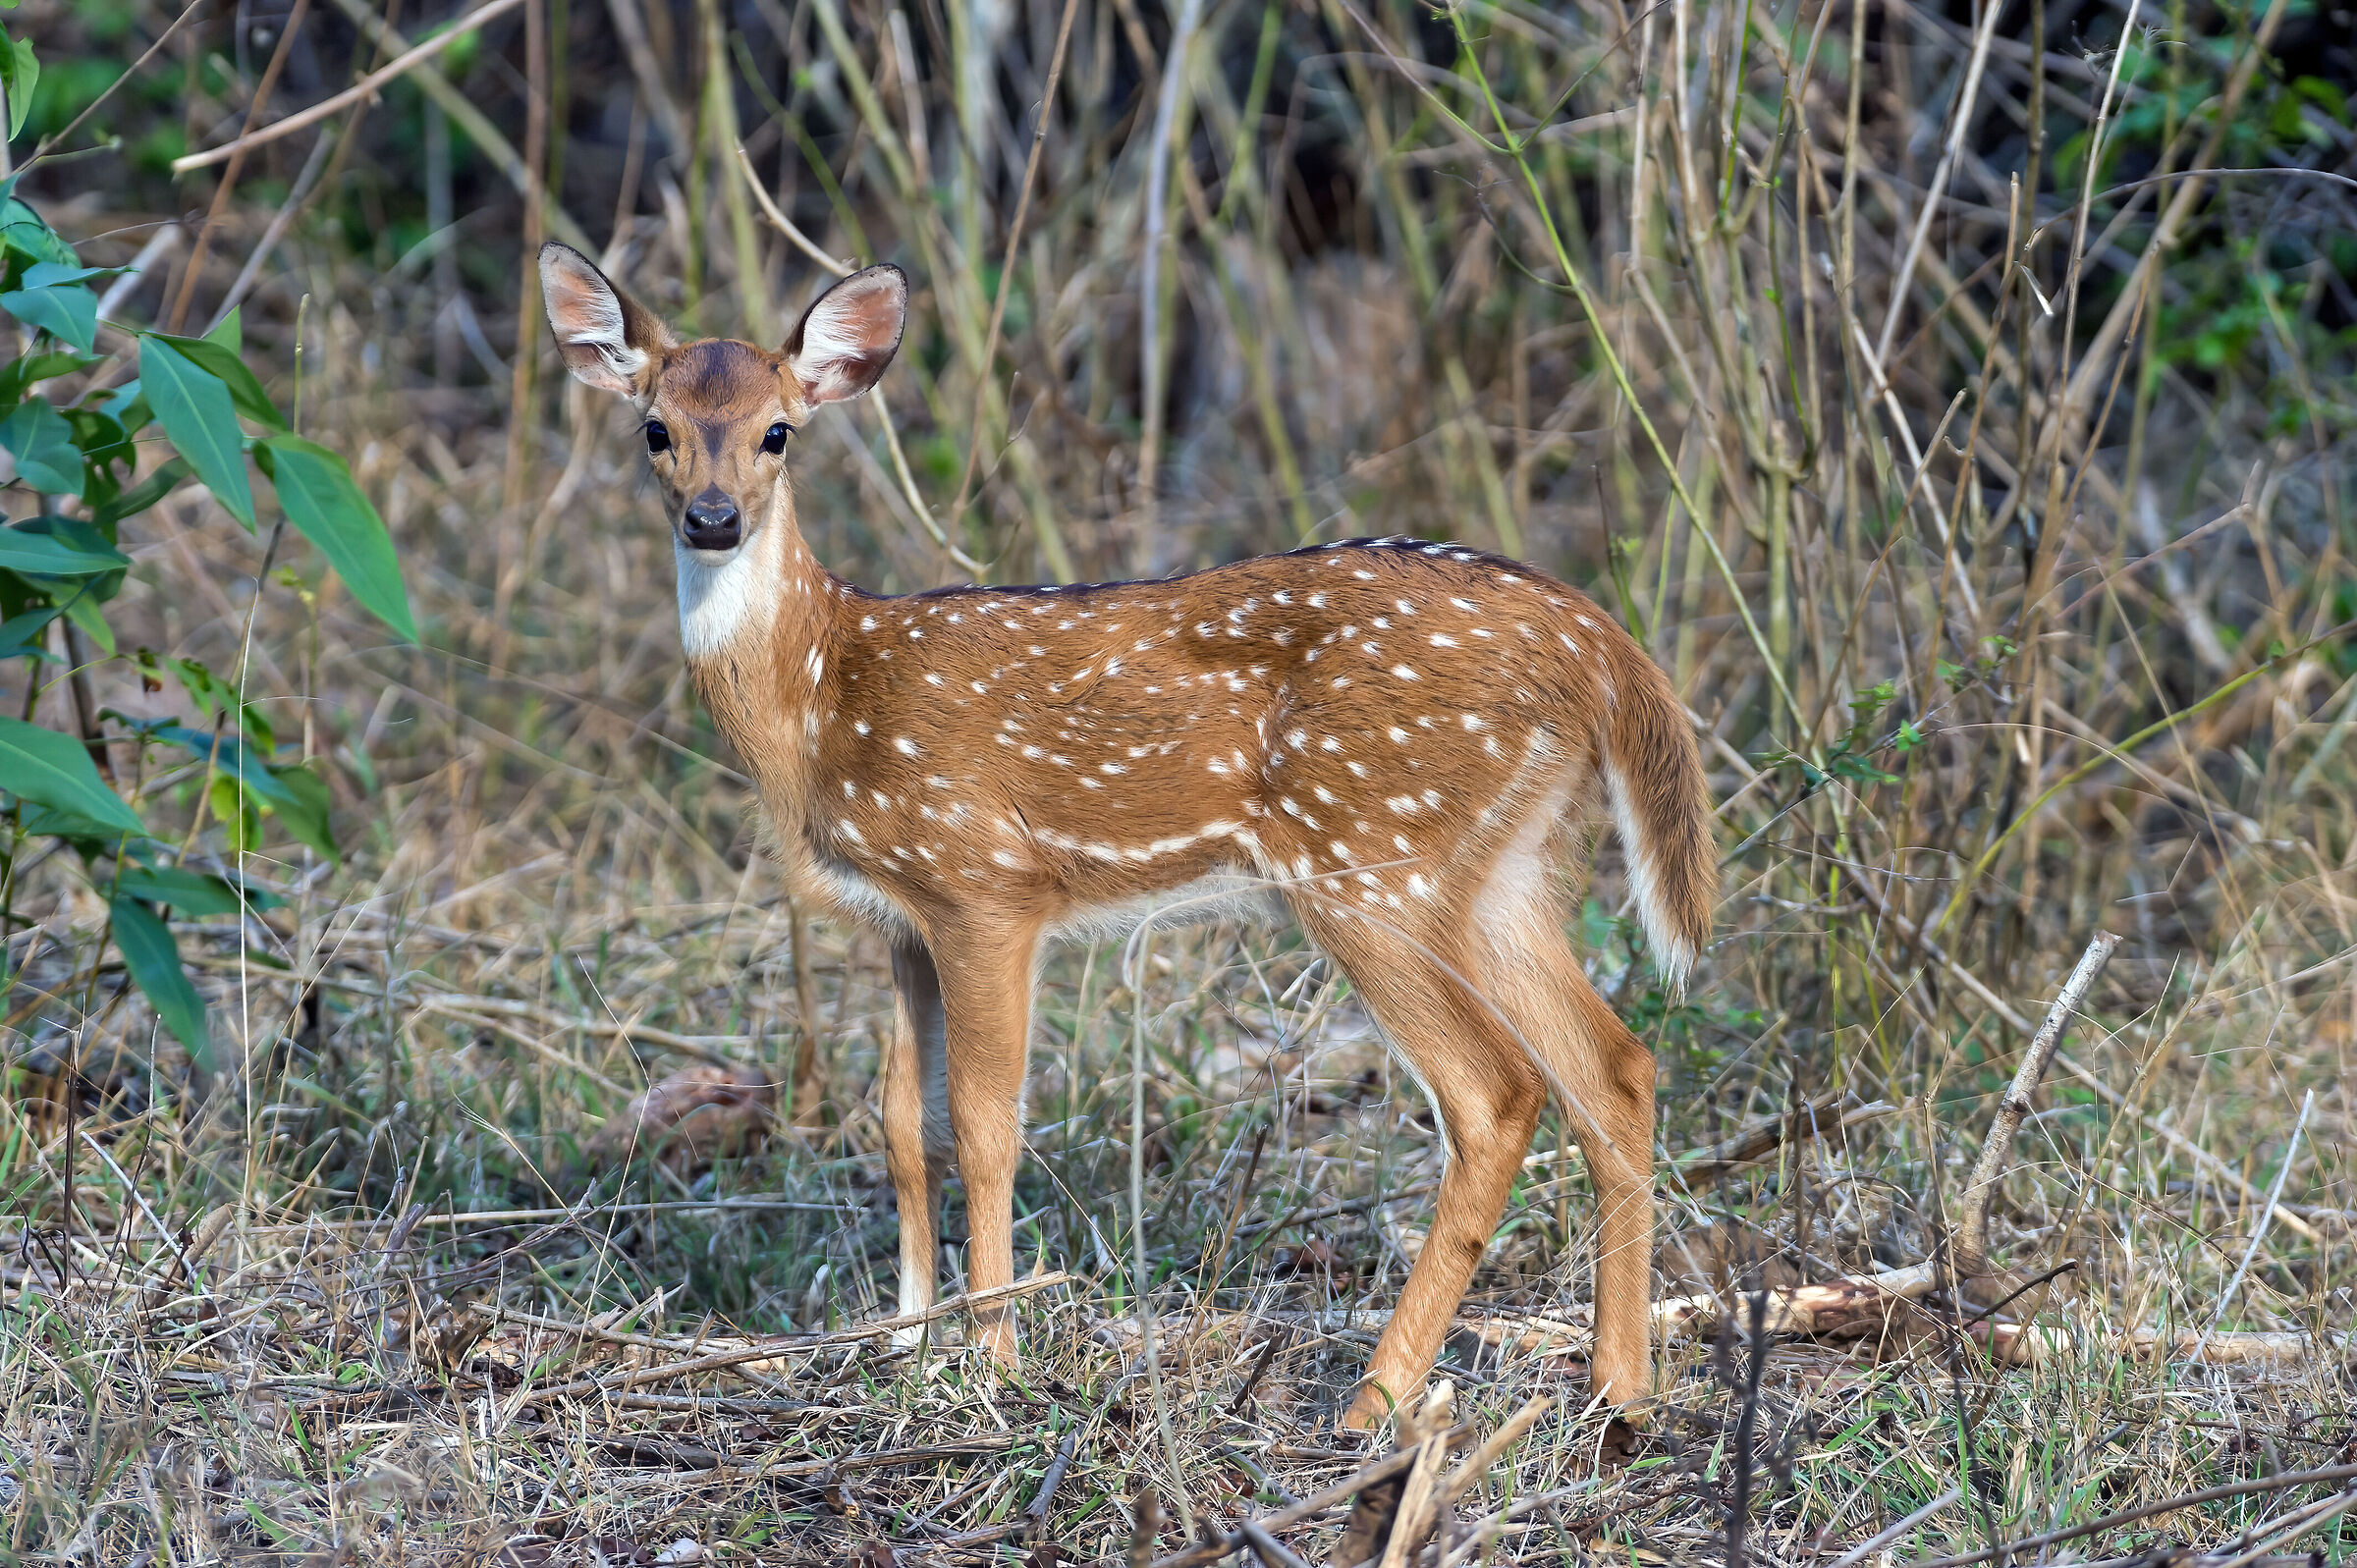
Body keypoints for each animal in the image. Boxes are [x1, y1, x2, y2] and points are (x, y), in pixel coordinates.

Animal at [537, 241, 1716, 1429]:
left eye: (779, 430)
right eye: (655, 429)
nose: (713, 519)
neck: (824, 700)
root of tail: (1600, 643)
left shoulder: (985, 884)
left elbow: (986, 1123)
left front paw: (993, 1354)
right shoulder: (904, 920)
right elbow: (902, 1123)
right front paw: (905, 1341)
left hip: (1370, 855)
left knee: (1497, 1094)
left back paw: (1375, 1398)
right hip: (1502, 864)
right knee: (1617, 1066)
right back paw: (1618, 1386)